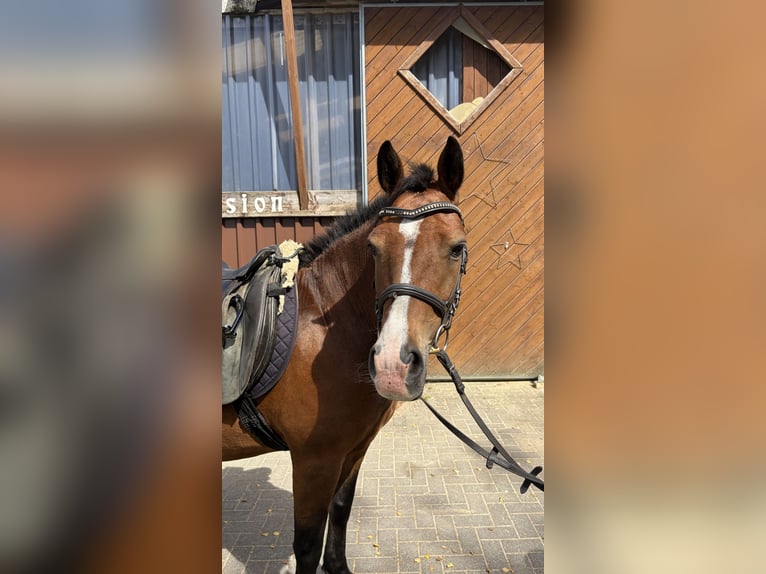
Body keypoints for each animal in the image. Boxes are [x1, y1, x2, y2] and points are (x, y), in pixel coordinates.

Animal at [222, 137, 468, 574]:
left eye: (456, 249)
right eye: (373, 248)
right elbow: (307, 544)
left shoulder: (353, 450)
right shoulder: (313, 460)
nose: (392, 366)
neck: (320, 332)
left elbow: (341, 510)